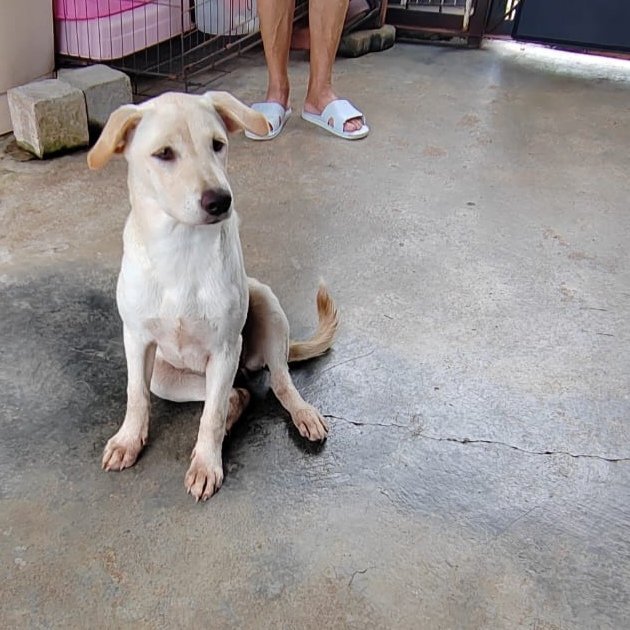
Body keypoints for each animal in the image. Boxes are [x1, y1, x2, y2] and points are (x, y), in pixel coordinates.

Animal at [87, 90, 340, 504]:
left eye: (218, 145)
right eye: (164, 154)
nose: (221, 200)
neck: (180, 249)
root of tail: (249, 364)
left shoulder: (224, 349)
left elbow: (212, 416)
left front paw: (206, 465)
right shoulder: (136, 340)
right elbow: (136, 396)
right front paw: (128, 440)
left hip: (265, 306)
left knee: (276, 384)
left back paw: (301, 413)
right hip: (167, 378)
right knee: (236, 396)